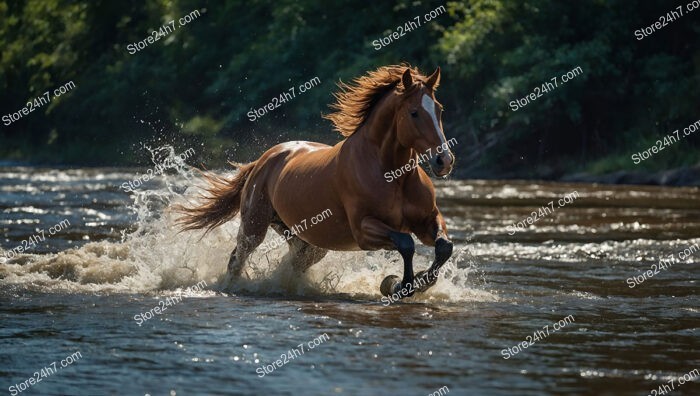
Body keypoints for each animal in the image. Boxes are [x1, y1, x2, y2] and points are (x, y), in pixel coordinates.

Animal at [176, 64, 454, 300]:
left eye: (440, 109)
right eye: (414, 113)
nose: (444, 160)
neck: (392, 175)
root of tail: (266, 158)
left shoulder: (426, 220)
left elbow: (444, 246)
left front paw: (421, 281)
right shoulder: (364, 229)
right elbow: (406, 243)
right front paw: (398, 285)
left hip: (306, 240)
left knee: (296, 262)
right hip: (254, 226)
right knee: (237, 258)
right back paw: (232, 287)